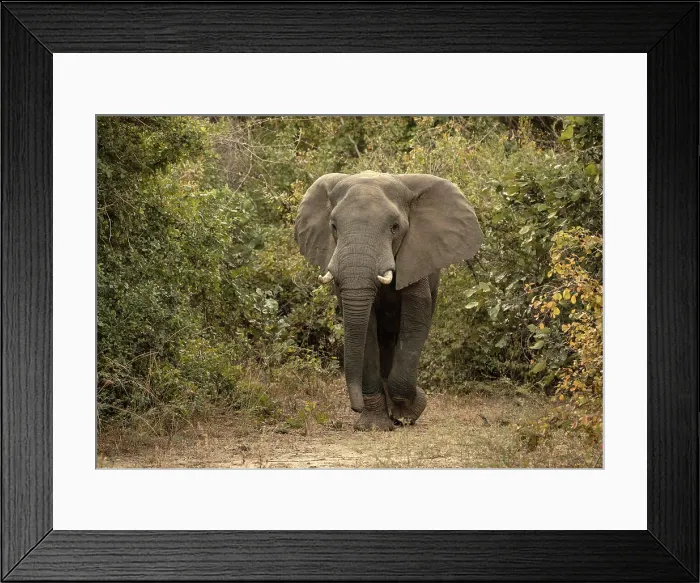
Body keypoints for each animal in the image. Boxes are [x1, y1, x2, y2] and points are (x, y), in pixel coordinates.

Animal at [294, 171, 483, 431]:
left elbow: (416, 317)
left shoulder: (416, 255)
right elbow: (366, 328)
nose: (356, 407)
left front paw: (410, 410)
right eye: (333, 227)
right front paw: (373, 425)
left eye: (395, 228)